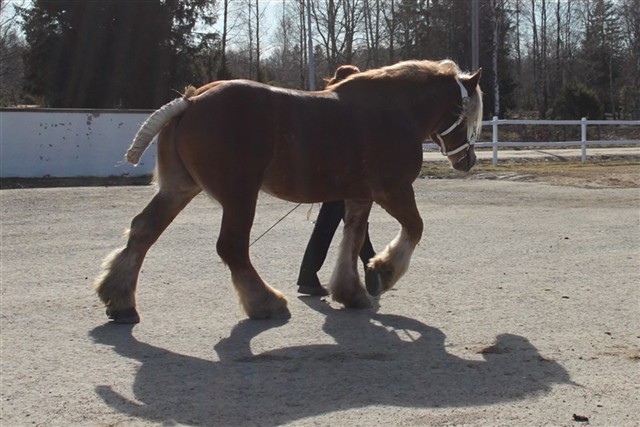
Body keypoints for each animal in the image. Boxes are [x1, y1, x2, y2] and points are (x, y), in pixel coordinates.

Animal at [95, 60, 482, 324]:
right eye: (468, 114)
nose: (468, 160)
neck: (393, 111)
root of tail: (191, 100)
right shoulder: (393, 190)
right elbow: (414, 228)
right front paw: (382, 272)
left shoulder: (359, 196)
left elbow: (352, 238)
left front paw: (351, 291)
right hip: (239, 197)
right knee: (232, 248)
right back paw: (265, 302)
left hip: (179, 188)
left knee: (143, 230)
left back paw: (120, 300)